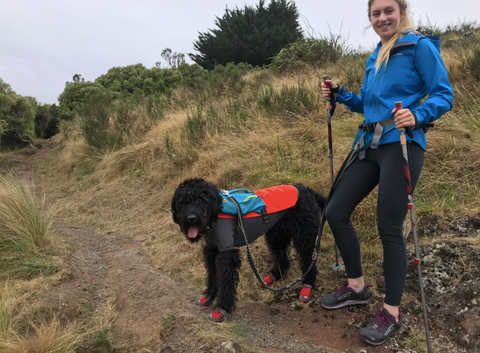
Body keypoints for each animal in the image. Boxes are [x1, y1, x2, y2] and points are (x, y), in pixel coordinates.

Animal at [172, 177, 326, 320]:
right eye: (183, 201)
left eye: (201, 200)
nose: (191, 218)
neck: (215, 215)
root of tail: (306, 189)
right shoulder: (211, 250)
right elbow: (212, 274)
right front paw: (209, 297)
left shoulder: (226, 253)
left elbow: (226, 280)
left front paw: (222, 309)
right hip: (276, 235)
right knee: (283, 258)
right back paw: (274, 276)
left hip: (304, 236)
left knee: (309, 259)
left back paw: (307, 286)